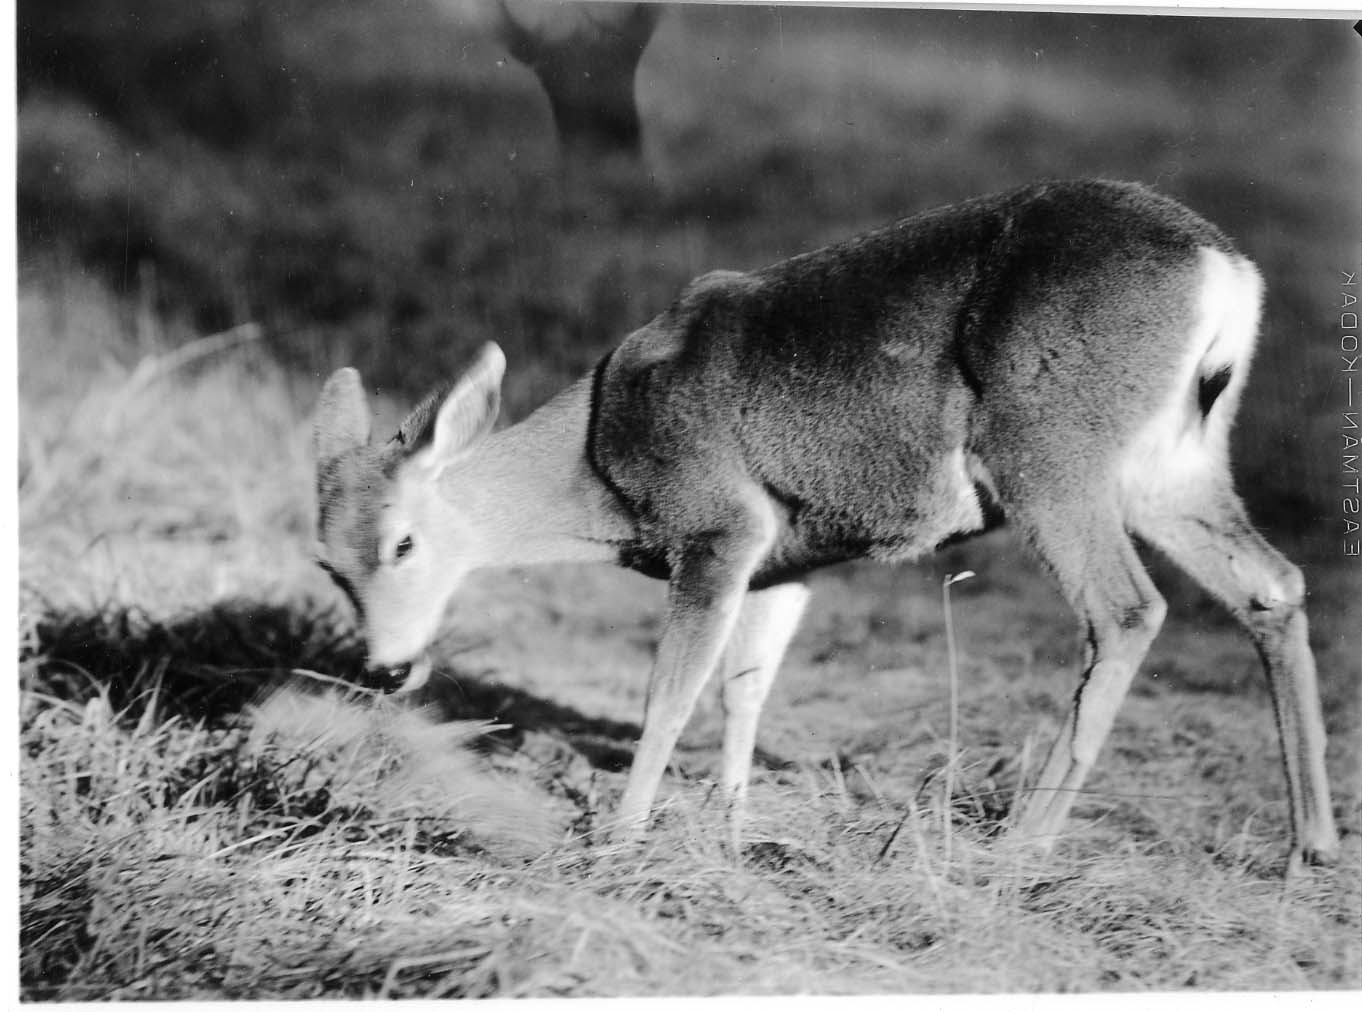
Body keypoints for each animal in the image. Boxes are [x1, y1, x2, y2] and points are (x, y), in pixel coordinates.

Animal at [313, 179, 1339, 868]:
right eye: (327, 567)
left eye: (404, 541)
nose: (387, 669)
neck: (600, 465)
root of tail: (1225, 272)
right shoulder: (785, 560)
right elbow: (745, 691)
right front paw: (729, 827)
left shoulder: (719, 523)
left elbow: (671, 692)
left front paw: (624, 834)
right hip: (1175, 462)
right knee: (1272, 584)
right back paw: (1312, 848)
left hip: (1049, 446)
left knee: (1126, 610)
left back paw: (1021, 842)